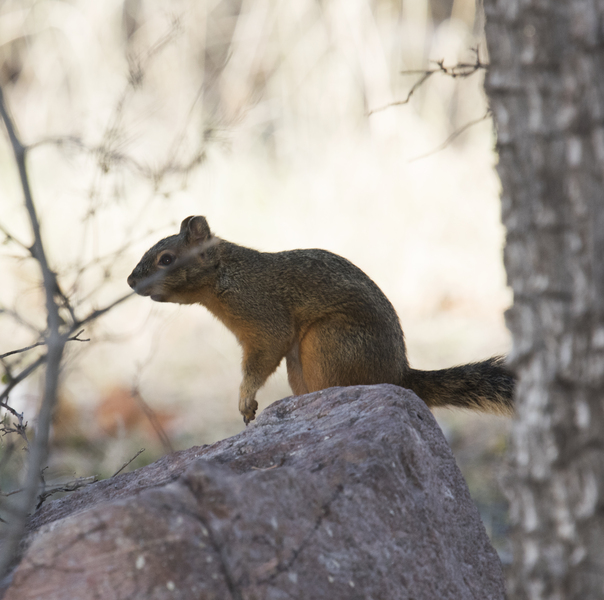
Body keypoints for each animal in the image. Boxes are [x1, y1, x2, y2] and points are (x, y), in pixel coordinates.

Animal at [129, 216, 516, 422]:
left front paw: (245, 399)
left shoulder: (264, 317)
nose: (131, 281)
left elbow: (263, 355)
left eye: (166, 259)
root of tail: (398, 376)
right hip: (302, 364)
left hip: (329, 343)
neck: (226, 274)